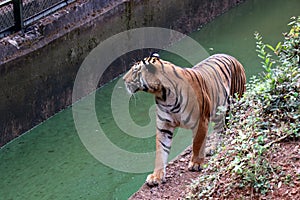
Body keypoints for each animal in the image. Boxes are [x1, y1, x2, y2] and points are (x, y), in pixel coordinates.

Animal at [122, 52, 246, 186]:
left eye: (135, 70)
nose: (123, 79)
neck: (163, 95)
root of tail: (232, 57)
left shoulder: (200, 121)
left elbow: (197, 143)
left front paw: (196, 163)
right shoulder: (164, 126)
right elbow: (160, 151)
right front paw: (156, 176)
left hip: (235, 104)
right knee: (220, 128)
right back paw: (213, 148)